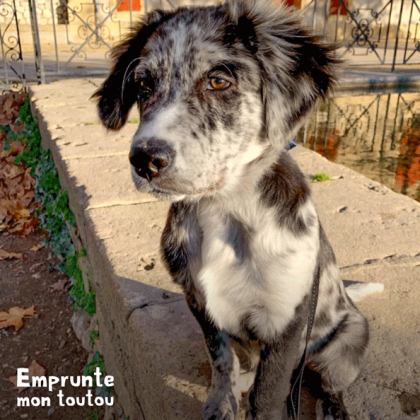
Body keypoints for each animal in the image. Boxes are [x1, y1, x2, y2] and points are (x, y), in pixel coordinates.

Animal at [93, 1, 382, 418]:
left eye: (218, 82)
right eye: (143, 85)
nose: (145, 160)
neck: (224, 208)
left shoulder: (287, 318)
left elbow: (270, 392)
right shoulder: (200, 301)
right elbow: (222, 360)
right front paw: (221, 403)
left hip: (350, 340)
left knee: (329, 382)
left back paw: (332, 407)